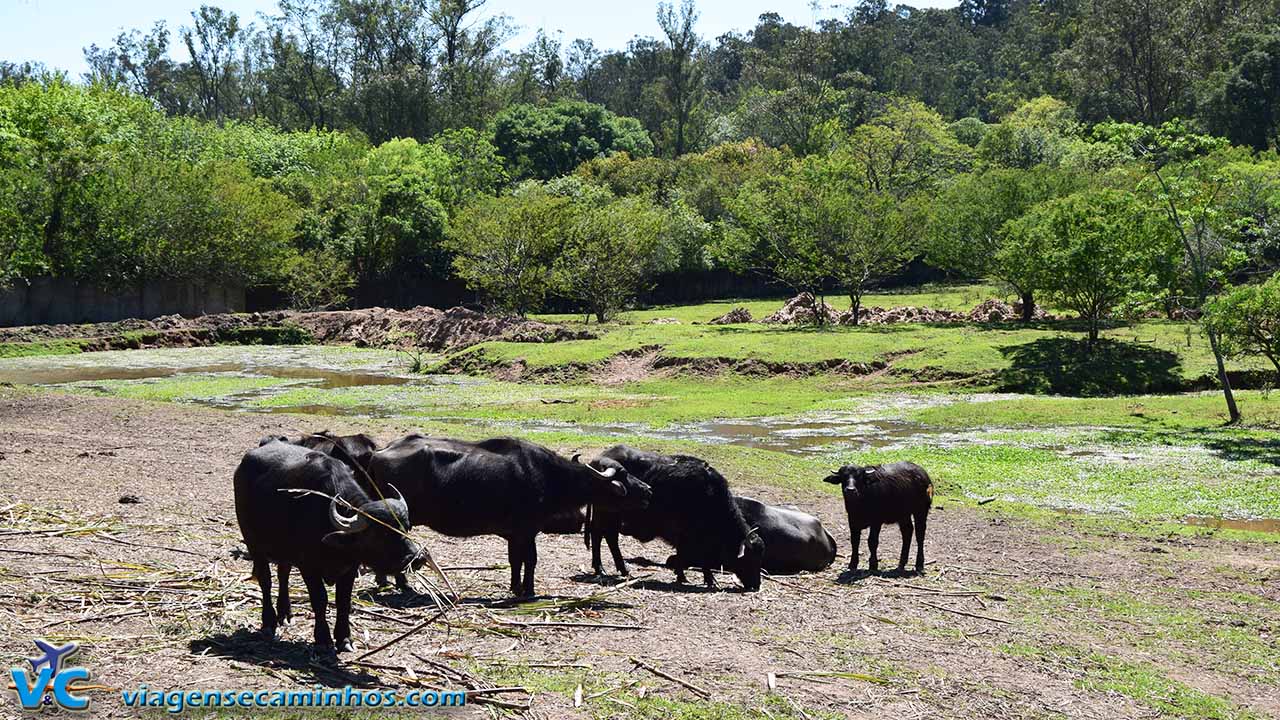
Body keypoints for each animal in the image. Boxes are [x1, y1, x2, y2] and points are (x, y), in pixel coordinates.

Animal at [232, 430, 427, 650]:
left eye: (406, 527)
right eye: (382, 533)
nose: (417, 558)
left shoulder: (350, 567)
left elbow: (344, 602)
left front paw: (344, 638)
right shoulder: (308, 566)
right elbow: (320, 599)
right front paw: (323, 639)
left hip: (284, 550)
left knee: (283, 575)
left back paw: (285, 614)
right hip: (253, 543)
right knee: (266, 580)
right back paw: (269, 622)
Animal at [368, 430, 650, 594]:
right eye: (624, 474)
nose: (648, 490)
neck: (548, 476)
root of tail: (377, 454)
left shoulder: (516, 535)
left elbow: (516, 560)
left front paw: (516, 587)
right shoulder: (527, 530)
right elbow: (531, 560)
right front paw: (529, 591)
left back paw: (385, 581)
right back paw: (401, 583)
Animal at [586, 443, 757, 589]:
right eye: (750, 558)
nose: (756, 585)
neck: (709, 495)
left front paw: (683, 576)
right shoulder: (690, 535)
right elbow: (699, 558)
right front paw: (708, 579)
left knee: (609, 537)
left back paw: (622, 570)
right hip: (605, 513)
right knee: (599, 535)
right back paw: (601, 568)